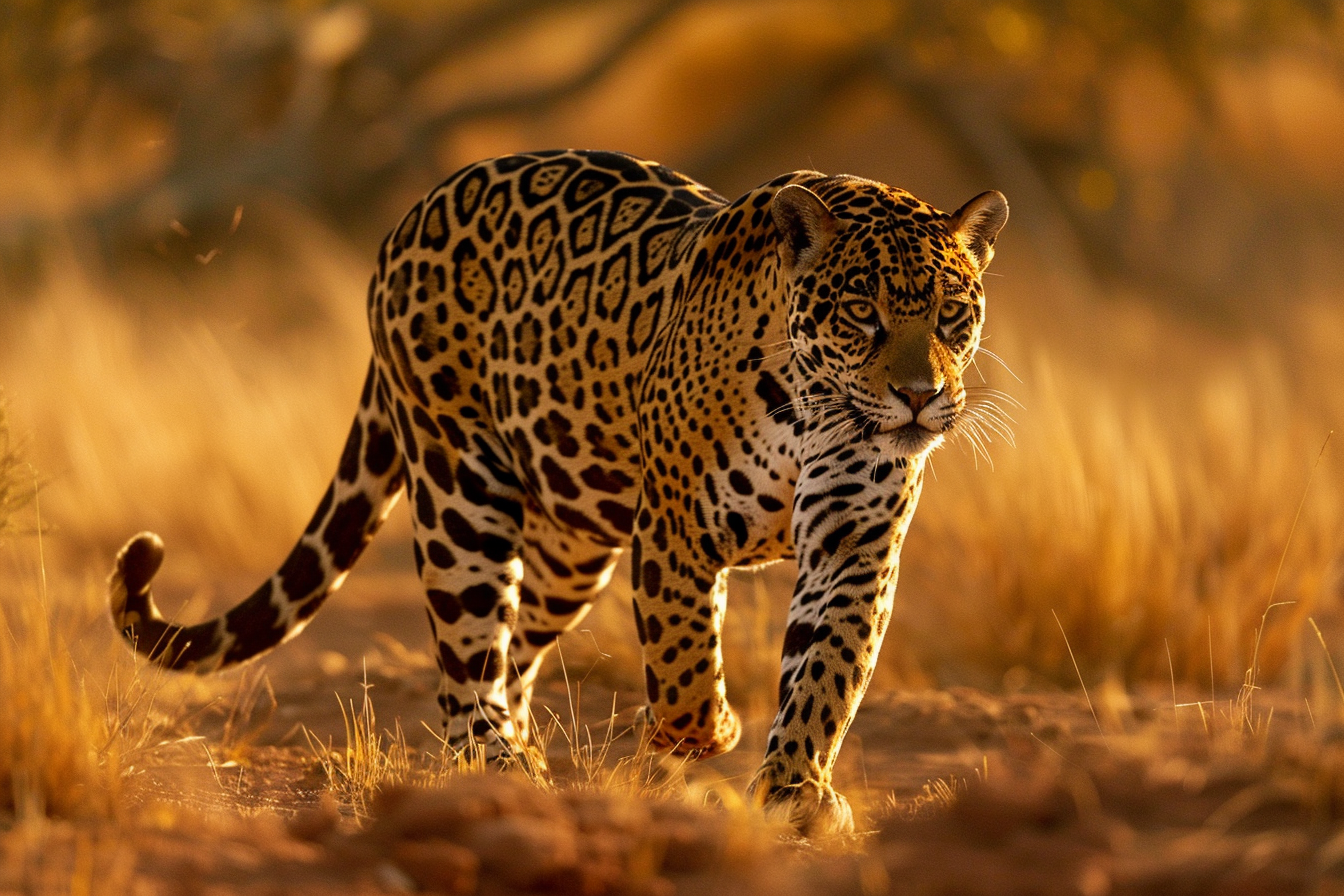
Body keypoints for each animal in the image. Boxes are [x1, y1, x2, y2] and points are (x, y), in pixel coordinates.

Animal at [109, 149, 1007, 836]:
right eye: (861, 312)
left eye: (952, 315)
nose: (920, 397)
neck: (815, 402)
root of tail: (411, 217)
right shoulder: (676, 529)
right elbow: (683, 659)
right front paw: (698, 732)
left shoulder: (854, 541)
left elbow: (827, 672)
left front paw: (795, 795)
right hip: (462, 490)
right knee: (466, 653)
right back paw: (497, 767)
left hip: (573, 542)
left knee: (514, 642)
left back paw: (524, 748)